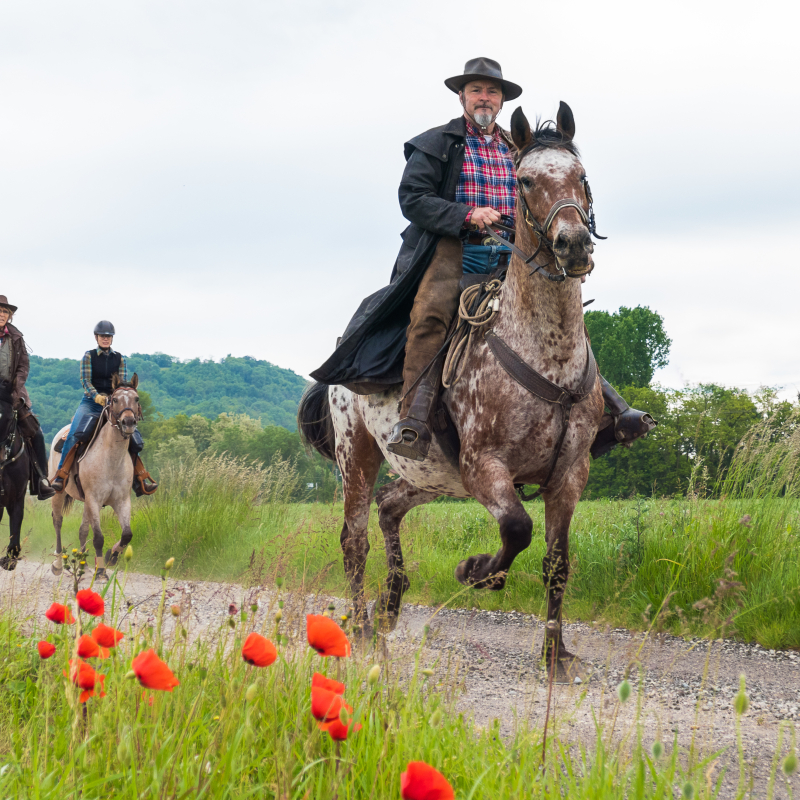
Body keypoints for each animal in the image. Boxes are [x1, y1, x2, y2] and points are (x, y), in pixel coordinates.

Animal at [48, 372, 144, 580]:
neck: (112, 460)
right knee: (58, 522)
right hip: (59, 493)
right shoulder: (94, 499)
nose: (128, 423)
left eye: (136, 399)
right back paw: (58, 564)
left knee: (83, 531)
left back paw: (83, 565)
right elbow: (98, 537)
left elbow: (127, 534)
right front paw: (100, 571)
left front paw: (110, 557)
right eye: (114, 399)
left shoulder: (121, 501)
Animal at [300, 101, 608, 680]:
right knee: (354, 540)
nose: (573, 244)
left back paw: (390, 606)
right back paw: (364, 630)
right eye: (525, 180)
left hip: (434, 475)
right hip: (359, 456)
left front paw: (555, 655)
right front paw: (478, 571)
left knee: (390, 507)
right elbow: (517, 529)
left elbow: (557, 562)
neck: (548, 355)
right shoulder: (485, 466)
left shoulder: (570, 475)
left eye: (582, 176)